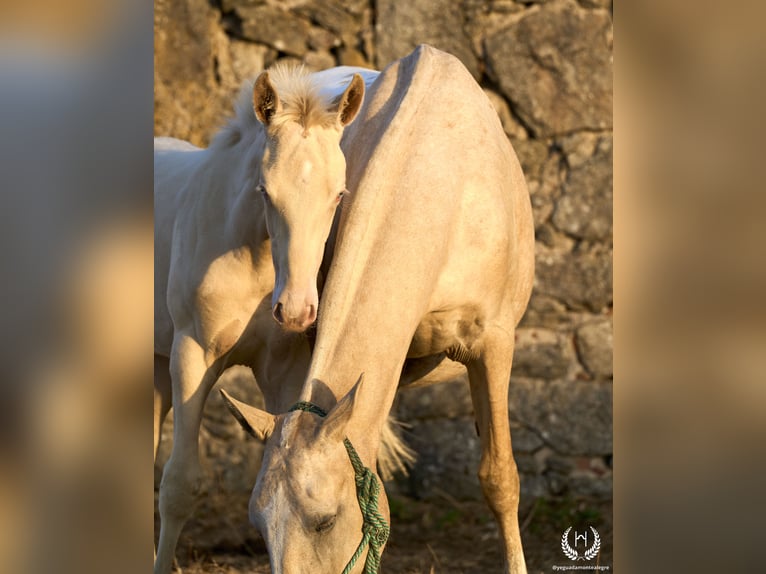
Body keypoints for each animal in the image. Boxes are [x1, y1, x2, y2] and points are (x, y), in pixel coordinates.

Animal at [154, 64, 402, 574]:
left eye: (339, 194)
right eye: (265, 191)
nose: (296, 310)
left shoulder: (282, 367)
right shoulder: (191, 354)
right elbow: (179, 485)